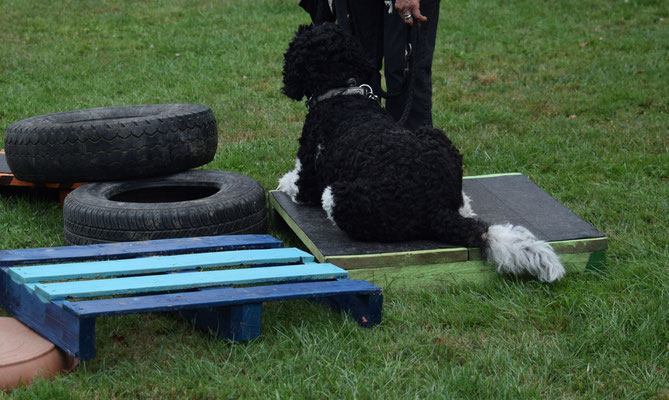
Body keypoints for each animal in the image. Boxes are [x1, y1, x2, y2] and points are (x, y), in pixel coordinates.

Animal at [276, 23, 564, 282]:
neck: (342, 96)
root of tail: (435, 207)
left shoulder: (308, 181)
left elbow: (291, 182)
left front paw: (282, 182)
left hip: (338, 195)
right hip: (436, 137)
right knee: (463, 204)